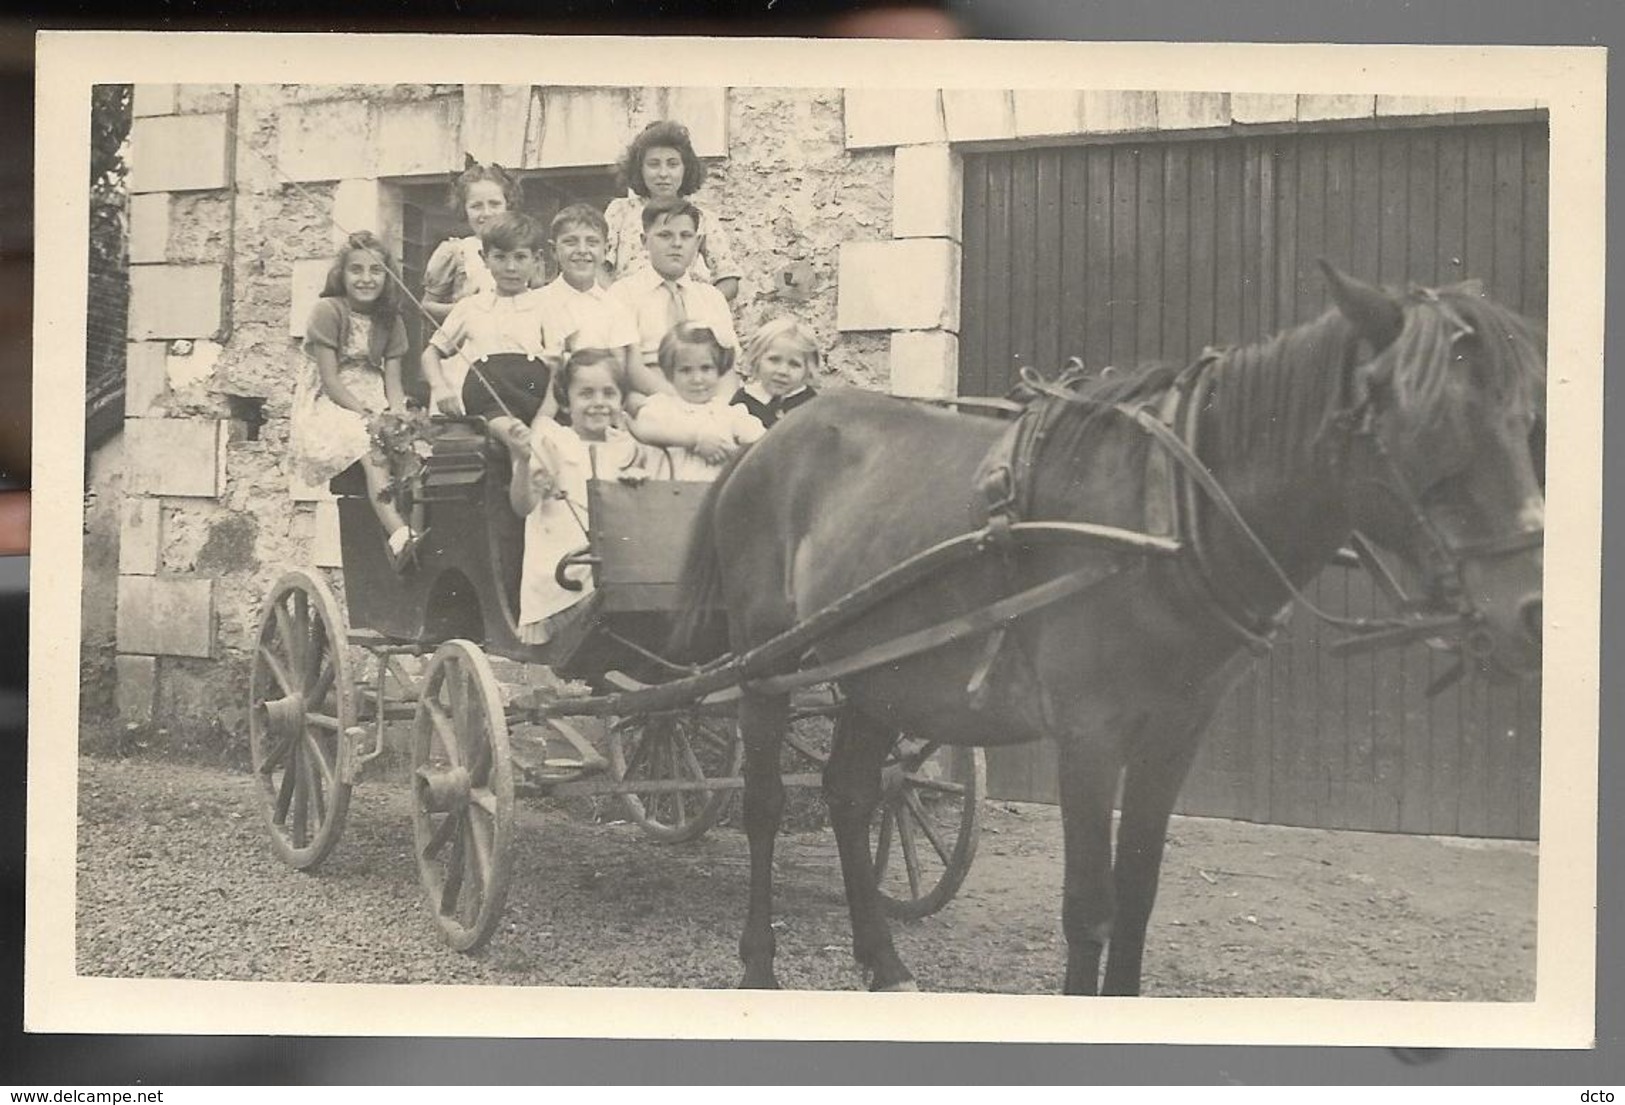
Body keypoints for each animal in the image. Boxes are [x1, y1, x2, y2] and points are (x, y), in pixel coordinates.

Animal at [676, 263, 1547, 994]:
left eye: (1527, 419)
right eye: (1430, 423)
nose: (1531, 612)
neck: (1166, 518)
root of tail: (765, 445)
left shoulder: (1175, 732)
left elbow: (1136, 896)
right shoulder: (1088, 734)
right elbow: (1087, 906)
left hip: (877, 671)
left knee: (852, 791)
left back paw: (883, 962)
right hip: (768, 666)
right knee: (763, 803)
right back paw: (759, 966)